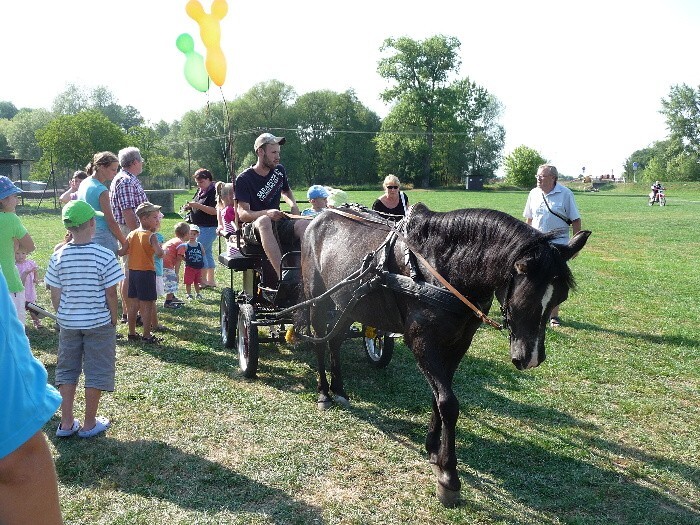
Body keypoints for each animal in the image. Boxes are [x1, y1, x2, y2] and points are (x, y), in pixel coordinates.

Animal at [296, 203, 592, 506]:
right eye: (526, 299)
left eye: (560, 298)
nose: (531, 357)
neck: (440, 268)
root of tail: (320, 216)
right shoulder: (421, 342)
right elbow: (448, 403)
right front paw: (448, 475)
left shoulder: (458, 342)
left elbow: (438, 396)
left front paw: (433, 448)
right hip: (318, 299)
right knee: (320, 342)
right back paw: (324, 393)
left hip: (348, 303)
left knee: (335, 341)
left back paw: (340, 389)